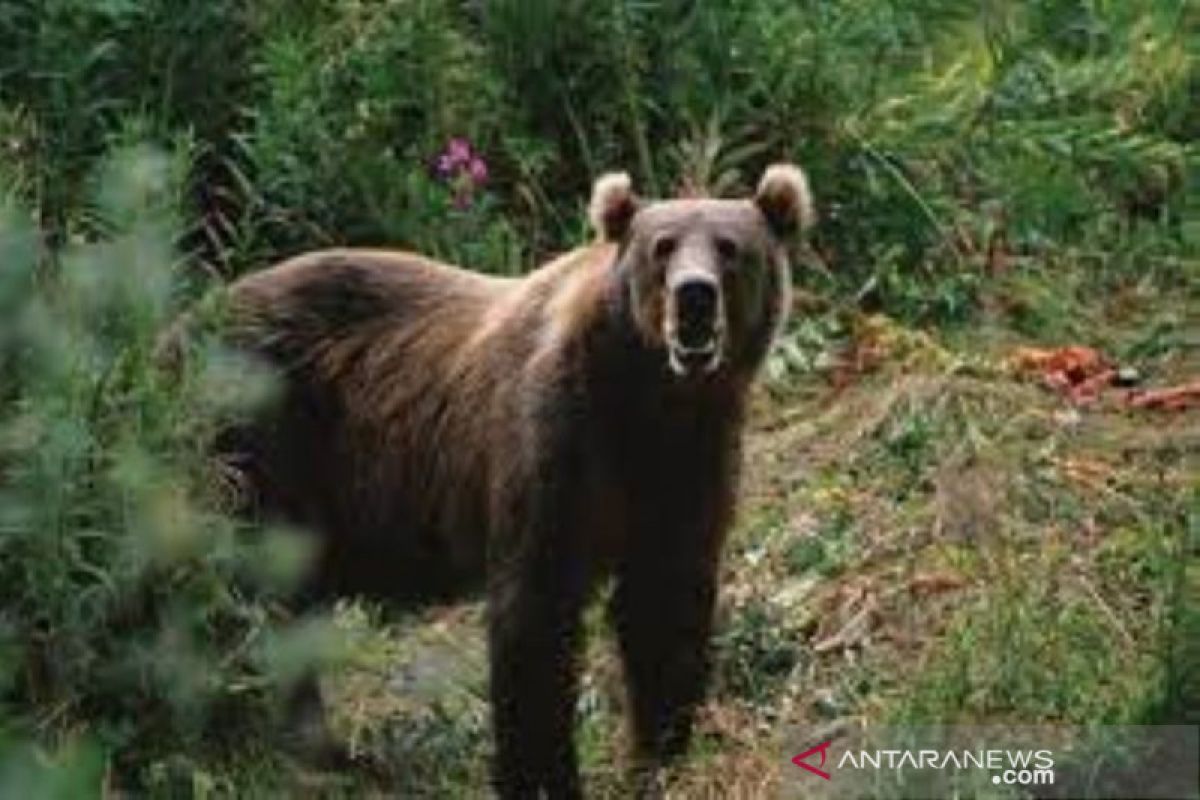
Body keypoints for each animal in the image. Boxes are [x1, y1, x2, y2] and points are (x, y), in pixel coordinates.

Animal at [218, 163, 816, 796]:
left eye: (730, 248)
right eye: (663, 246)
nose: (694, 296)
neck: (649, 398)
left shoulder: (687, 463)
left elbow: (665, 601)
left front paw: (657, 756)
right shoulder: (556, 443)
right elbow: (536, 617)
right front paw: (543, 772)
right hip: (263, 434)